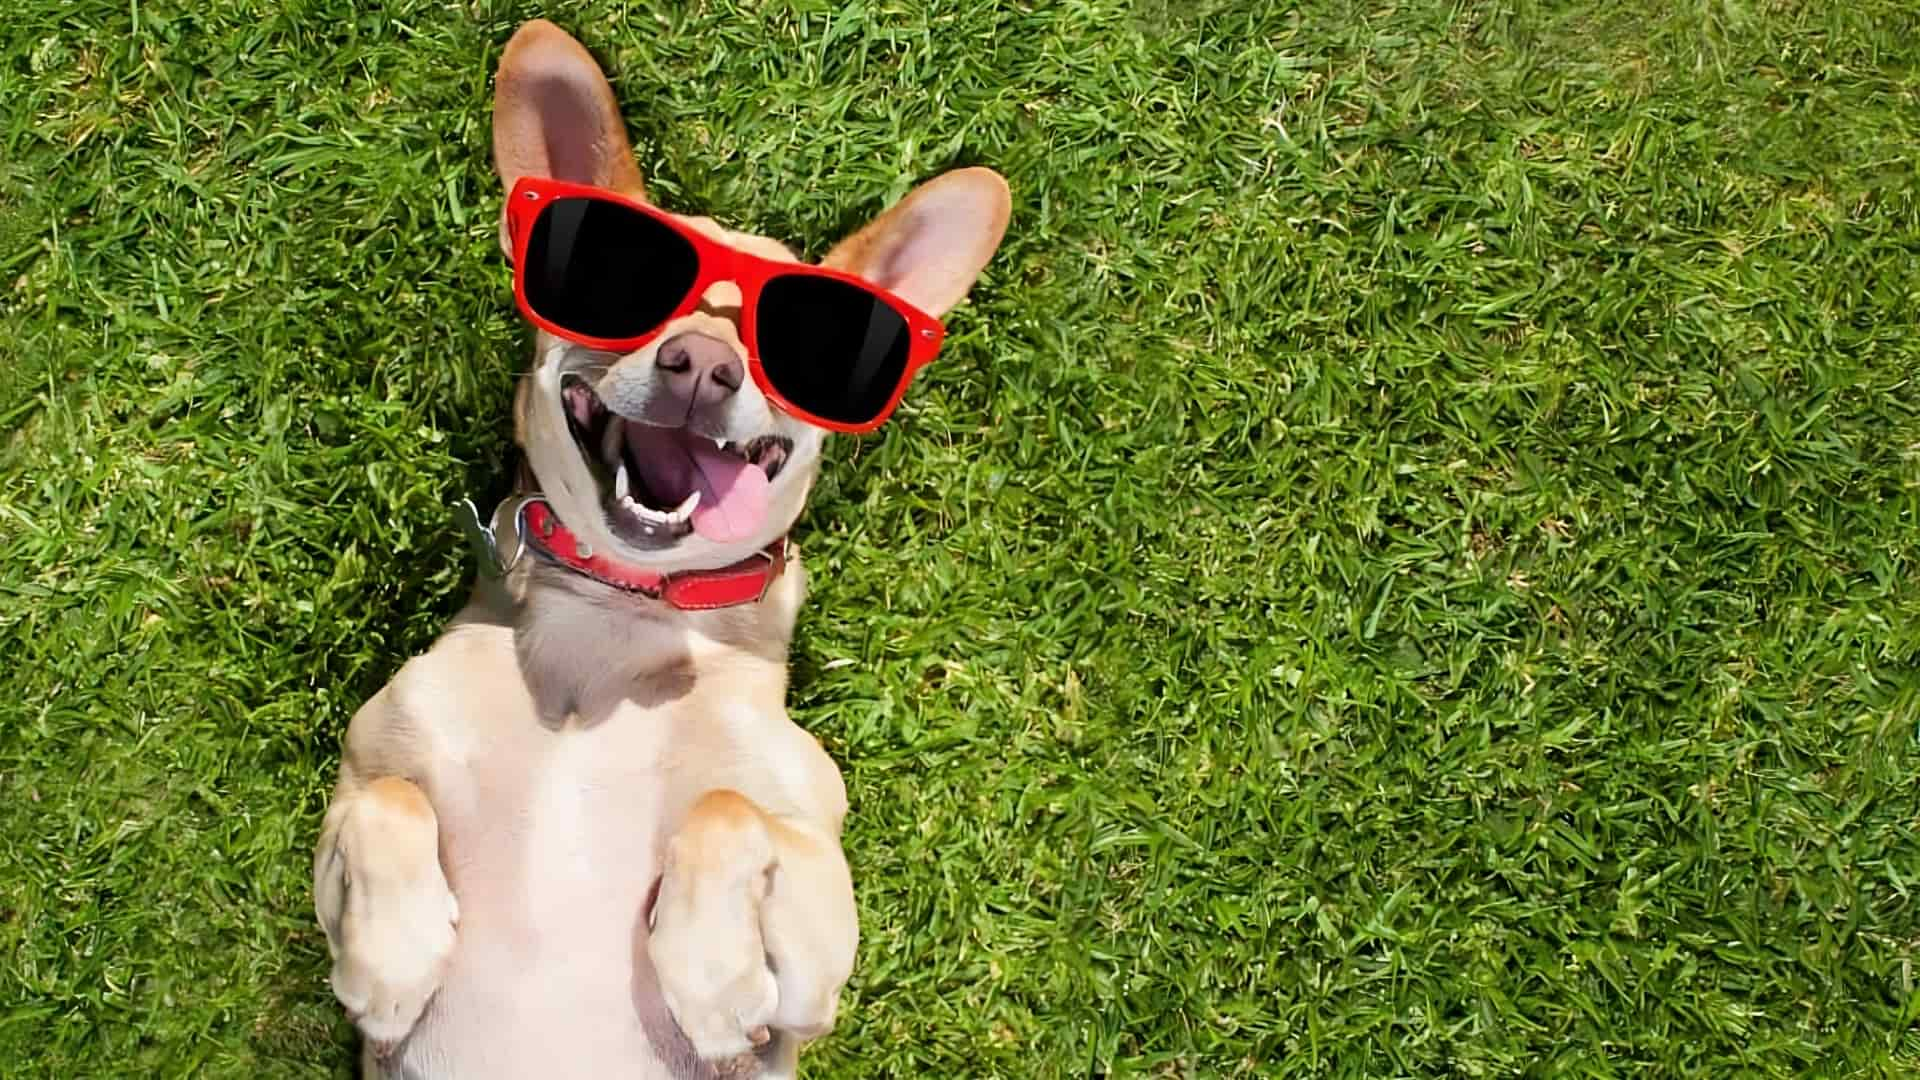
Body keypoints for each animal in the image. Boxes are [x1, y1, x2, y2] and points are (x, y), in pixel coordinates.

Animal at [307, 18, 1013, 1076]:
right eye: (626, 285)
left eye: (786, 343)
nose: (703, 364)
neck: (620, 617)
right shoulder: (357, 781)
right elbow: (387, 801)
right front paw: (393, 962)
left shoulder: (816, 947)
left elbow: (727, 810)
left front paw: (711, 978)